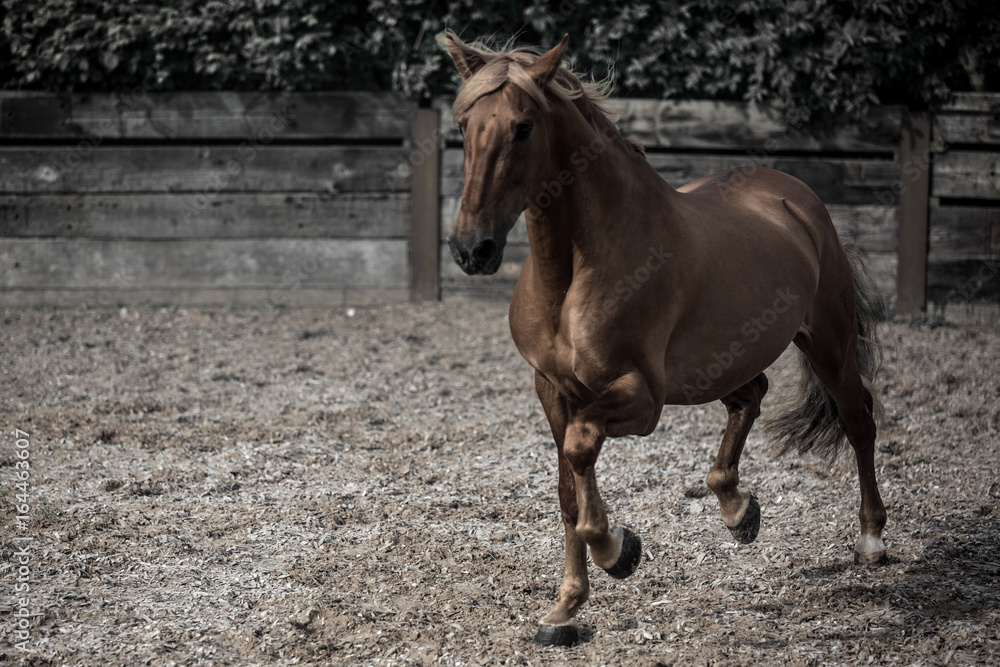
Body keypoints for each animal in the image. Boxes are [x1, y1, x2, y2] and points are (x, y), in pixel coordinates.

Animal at [437, 31, 888, 647]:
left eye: (523, 128)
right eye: (465, 126)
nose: (471, 248)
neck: (576, 272)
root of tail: (794, 194)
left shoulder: (642, 398)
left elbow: (581, 449)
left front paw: (618, 550)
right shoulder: (552, 389)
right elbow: (566, 492)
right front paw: (564, 609)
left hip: (828, 343)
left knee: (857, 418)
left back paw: (871, 540)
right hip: (720, 365)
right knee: (752, 397)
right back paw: (737, 509)